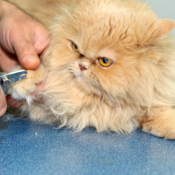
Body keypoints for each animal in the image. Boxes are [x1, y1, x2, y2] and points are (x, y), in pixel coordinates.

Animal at [5, 0, 175, 139]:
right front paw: (24, 81)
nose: (82, 66)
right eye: (75, 47)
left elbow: (162, 116)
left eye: (104, 61)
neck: (96, 102)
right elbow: (39, 71)